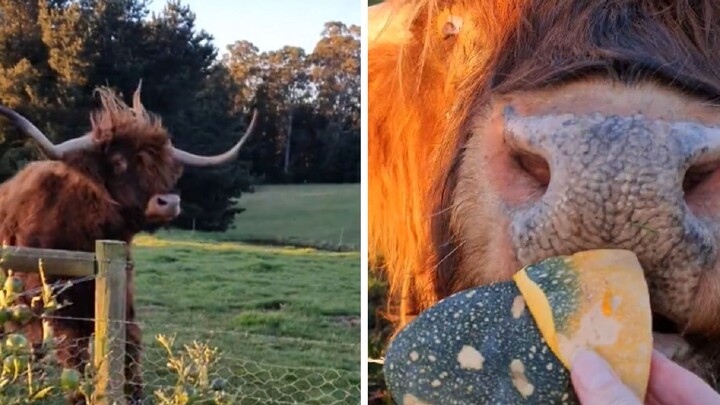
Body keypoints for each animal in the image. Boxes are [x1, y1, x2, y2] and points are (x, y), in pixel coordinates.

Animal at [0, 83, 258, 402]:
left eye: (164, 165)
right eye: (118, 162)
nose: (168, 202)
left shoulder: (120, 295)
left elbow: (129, 342)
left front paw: (135, 394)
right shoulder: (55, 300)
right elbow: (71, 356)